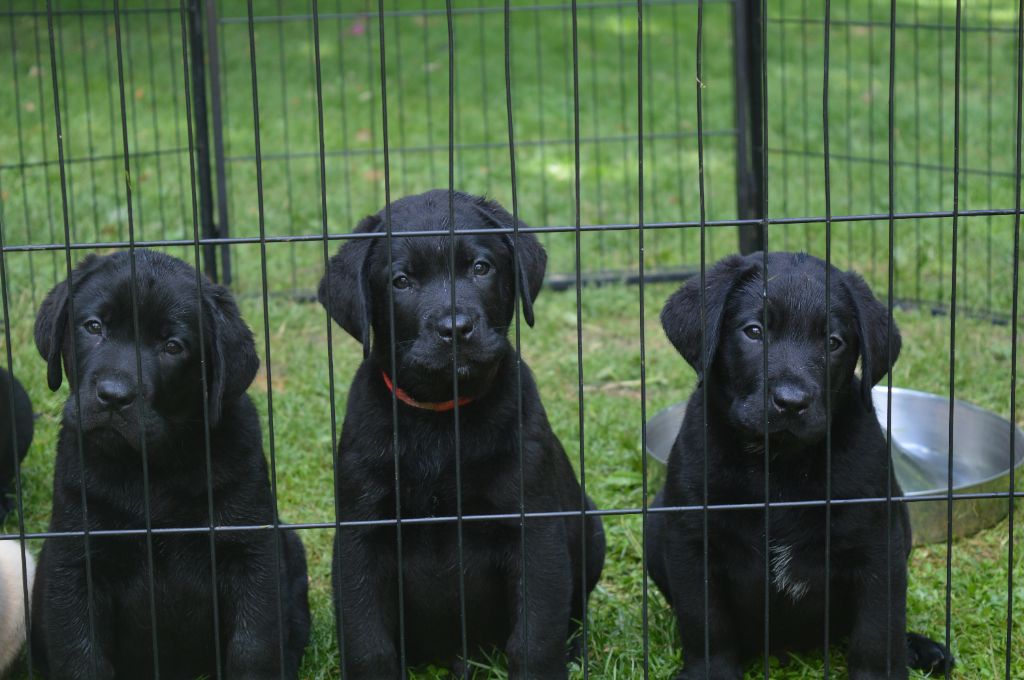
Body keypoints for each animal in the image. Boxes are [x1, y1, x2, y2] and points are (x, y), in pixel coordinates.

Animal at [33, 250, 311, 680]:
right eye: (94, 326)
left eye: (173, 346)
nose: (113, 396)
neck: (153, 468)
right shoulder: (73, 564)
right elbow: (81, 654)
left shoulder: (251, 552)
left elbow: (253, 647)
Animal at [319, 188, 602, 675]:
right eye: (401, 281)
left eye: (480, 267)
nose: (456, 329)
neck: (440, 417)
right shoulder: (361, 535)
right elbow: (367, 641)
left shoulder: (533, 530)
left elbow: (535, 636)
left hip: (591, 527)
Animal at [647, 250, 950, 680]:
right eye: (754, 331)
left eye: (833, 342)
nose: (791, 402)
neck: (780, 465)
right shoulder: (691, 542)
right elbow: (707, 625)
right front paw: (712, 672)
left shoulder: (879, 546)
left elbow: (876, 630)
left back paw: (920, 649)